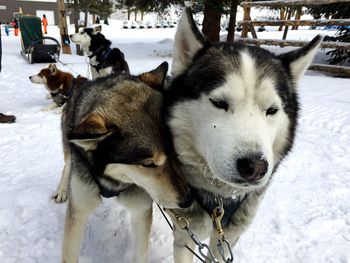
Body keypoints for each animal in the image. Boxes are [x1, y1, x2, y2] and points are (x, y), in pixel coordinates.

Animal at [164, 8, 322, 263]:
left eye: (272, 110)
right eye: (219, 103)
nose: (255, 166)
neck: (222, 201)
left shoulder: (227, 237)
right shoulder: (184, 237)